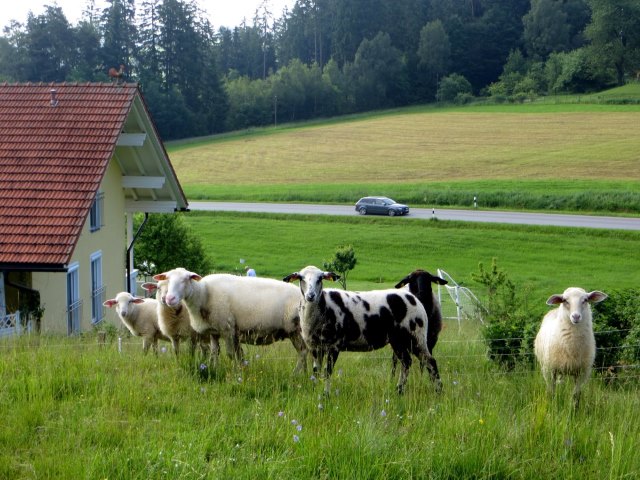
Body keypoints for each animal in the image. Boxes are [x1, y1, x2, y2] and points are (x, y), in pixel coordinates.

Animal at [152, 268, 308, 374]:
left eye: (186, 279)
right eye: (167, 279)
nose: (169, 299)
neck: (203, 294)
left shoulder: (227, 329)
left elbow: (231, 354)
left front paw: (236, 373)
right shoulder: (215, 331)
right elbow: (215, 353)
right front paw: (214, 369)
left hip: (296, 330)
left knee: (303, 352)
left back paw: (296, 374)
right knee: (305, 352)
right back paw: (304, 375)